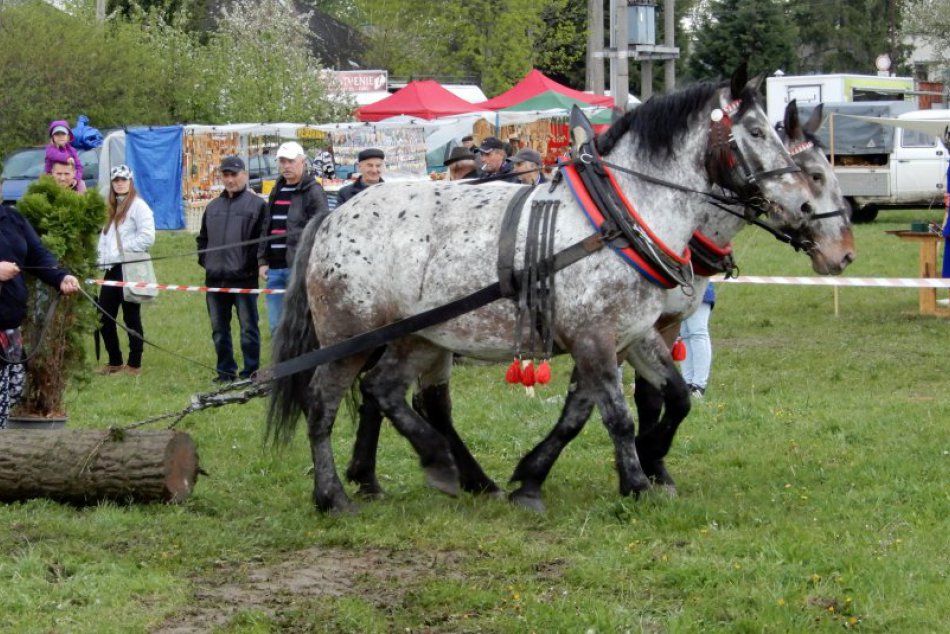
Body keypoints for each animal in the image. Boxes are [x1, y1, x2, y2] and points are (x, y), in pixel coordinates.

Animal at [266, 64, 856, 512]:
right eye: (755, 133)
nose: (840, 249)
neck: (620, 216)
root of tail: (335, 215)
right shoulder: (593, 336)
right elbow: (615, 413)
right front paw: (636, 481)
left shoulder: (632, 333)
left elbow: (651, 400)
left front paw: (556, 474)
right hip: (353, 336)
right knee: (325, 403)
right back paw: (336, 494)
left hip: (421, 336)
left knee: (386, 392)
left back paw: (440, 467)